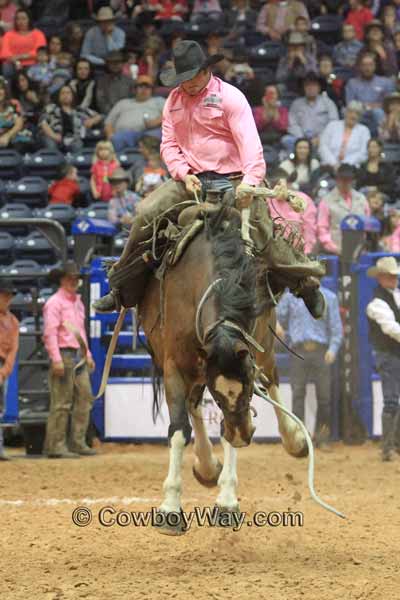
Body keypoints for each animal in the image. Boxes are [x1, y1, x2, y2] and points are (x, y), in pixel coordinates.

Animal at [137, 205, 306, 536]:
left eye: (249, 386)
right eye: (216, 394)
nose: (243, 436)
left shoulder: (250, 355)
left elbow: (228, 425)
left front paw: (227, 502)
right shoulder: (174, 366)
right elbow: (179, 430)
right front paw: (170, 508)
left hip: (264, 348)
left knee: (274, 381)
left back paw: (294, 439)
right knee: (193, 406)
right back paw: (205, 466)